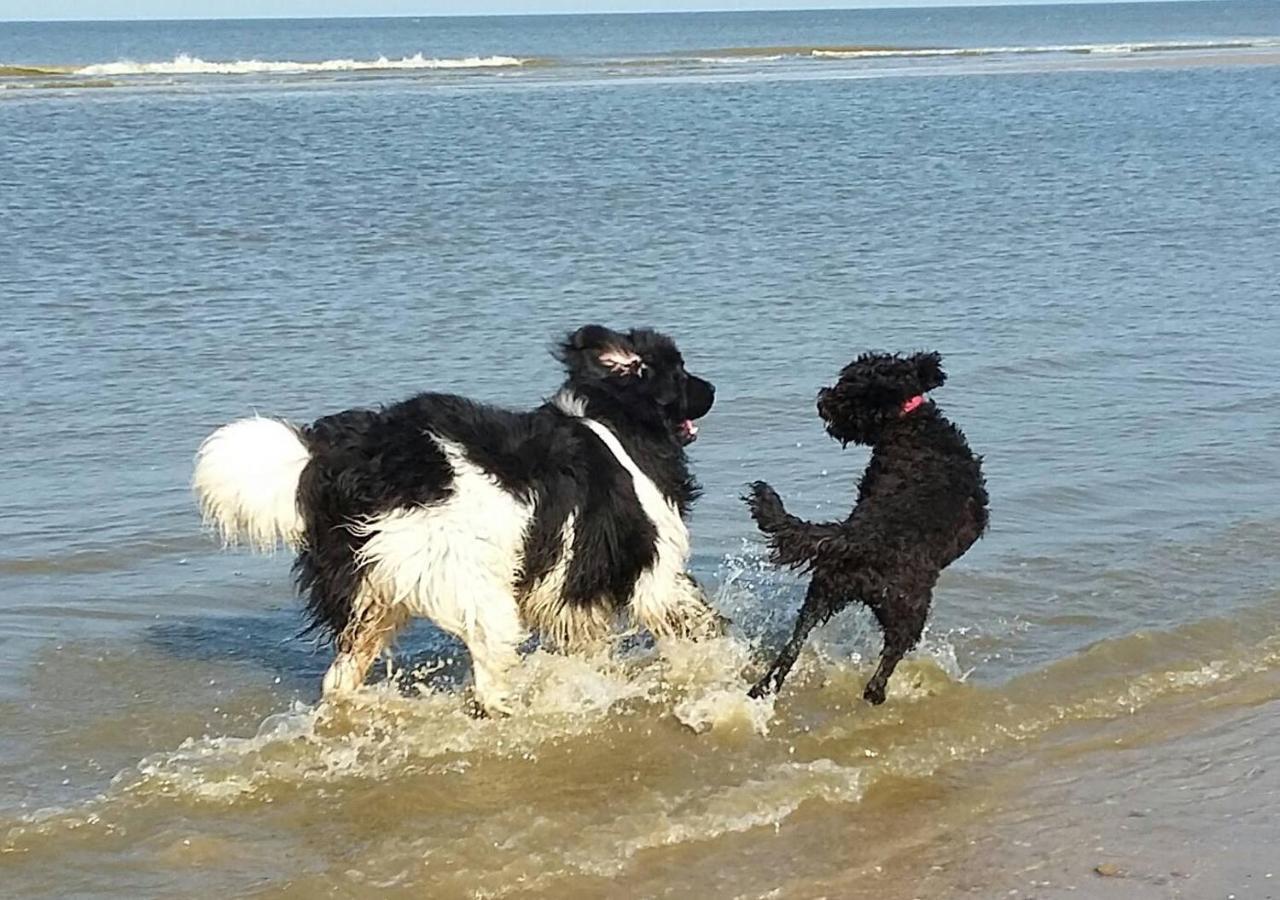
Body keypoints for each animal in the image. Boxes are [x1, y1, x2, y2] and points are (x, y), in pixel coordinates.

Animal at [197, 327, 721, 716]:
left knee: (340, 677)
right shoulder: (652, 570)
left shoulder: (571, 591)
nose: (713, 389)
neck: (617, 420)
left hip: (370, 592)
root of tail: (342, 458)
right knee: (488, 677)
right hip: (469, 580)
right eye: (680, 371)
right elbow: (688, 620)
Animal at [742, 350, 988, 706]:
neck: (909, 423)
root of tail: (859, 537)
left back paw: (763, 687)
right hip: (908, 609)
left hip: (822, 590)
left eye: (847, 385)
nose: (822, 400)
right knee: (888, 660)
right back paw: (878, 694)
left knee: (792, 646)